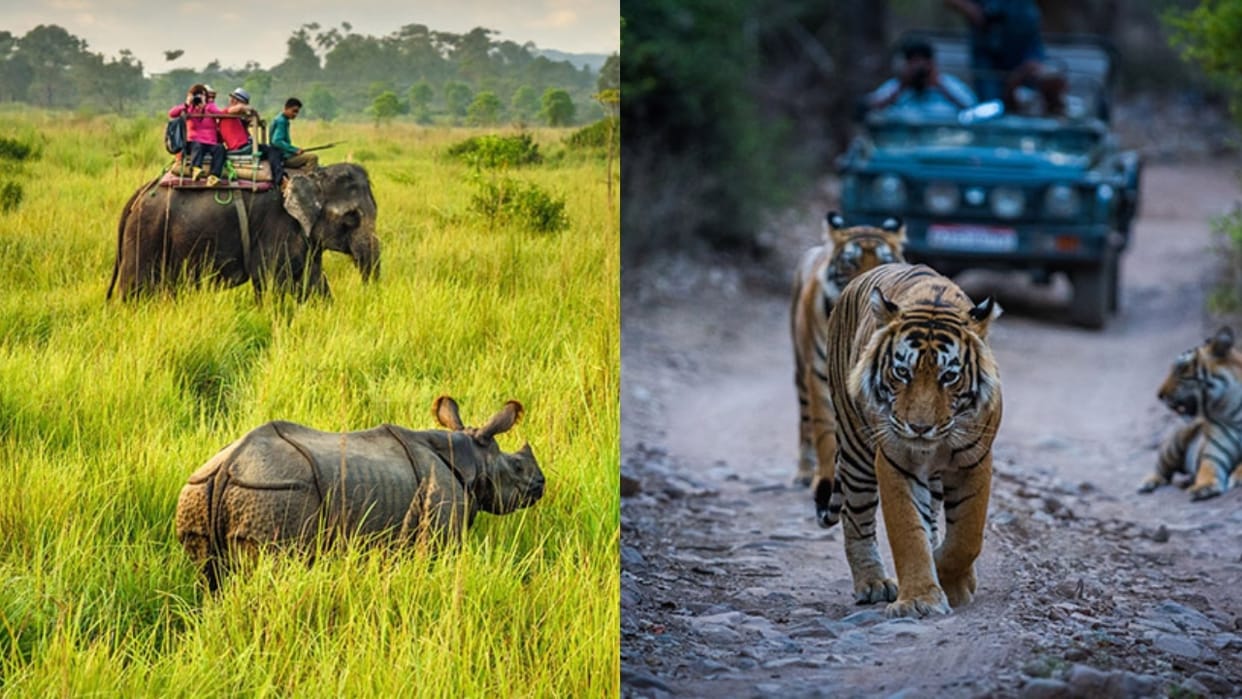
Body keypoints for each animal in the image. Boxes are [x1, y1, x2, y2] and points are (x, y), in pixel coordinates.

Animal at [107, 162, 380, 301]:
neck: (312, 175)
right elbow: (270, 281)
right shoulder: (277, 226)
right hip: (147, 230)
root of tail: (140, 192)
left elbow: (313, 281)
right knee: (136, 287)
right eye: (351, 217)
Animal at [175, 396, 546, 590]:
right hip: (276, 494)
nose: (542, 484)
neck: (471, 458)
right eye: (517, 467)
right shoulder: (441, 524)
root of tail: (228, 466)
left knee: (208, 577)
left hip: (201, 490)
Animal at [791, 212, 906, 487]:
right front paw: (824, 477)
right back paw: (803, 472)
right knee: (805, 421)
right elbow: (823, 429)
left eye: (884, 261)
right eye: (851, 263)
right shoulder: (819, 373)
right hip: (801, 369)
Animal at [818, 263, 1002, 618]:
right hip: (855, 449)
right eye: (902, 372)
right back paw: (873, 584)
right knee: (856, 518)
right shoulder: (895, 460)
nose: (919, 428)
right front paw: (920, 599)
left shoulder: (975, 460)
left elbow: (967, 535)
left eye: (949, 376)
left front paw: (952, 580)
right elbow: (908, 532)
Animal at [1140, 326, 1242, 500]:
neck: (1231, 411)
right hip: (1175, 443)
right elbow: (1207, 468)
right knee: (1162, 469)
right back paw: (1148, 483)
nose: (1159, 395)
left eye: (1181, 368)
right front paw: (1203, 486)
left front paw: (1237, 477)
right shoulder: (1214, 453)